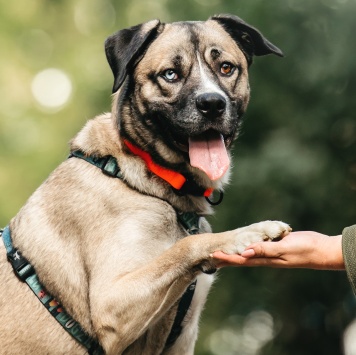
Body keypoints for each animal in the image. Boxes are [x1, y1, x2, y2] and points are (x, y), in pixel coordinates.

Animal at [0, 13, 288, 355]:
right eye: (170, 74)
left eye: (227, 68)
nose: (212, 104)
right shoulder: (112, 304)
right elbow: (185, 246)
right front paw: (250, 232)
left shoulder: (181, 339)